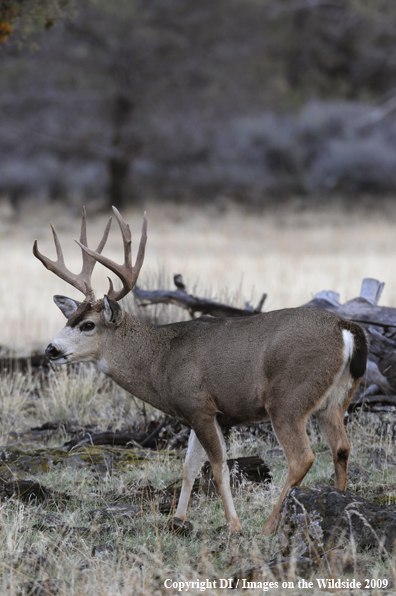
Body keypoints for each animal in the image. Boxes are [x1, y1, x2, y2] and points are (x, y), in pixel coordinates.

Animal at [34, 207, 368, 532]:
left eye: (88, 325)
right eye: (68, 319)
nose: (51, 349)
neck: (160, 360)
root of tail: (346, 327)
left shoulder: (200, 405)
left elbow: (218, 467)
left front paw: (233, 526)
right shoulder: (199, 413)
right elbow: (189, 467)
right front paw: (178, 520)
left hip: (288, 398)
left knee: (302, 457)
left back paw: (267, 528)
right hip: (335, 400)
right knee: (341, 447)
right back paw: (339, 504)